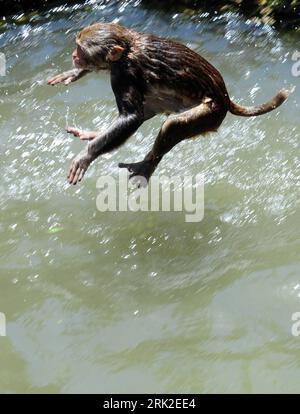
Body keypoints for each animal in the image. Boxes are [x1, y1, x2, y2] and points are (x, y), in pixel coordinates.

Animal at [47, 22, 290, 184]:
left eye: (80, 49)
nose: (74, 56)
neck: (127, 48)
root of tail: (225, 96)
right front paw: (75, 73)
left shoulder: (125, 73)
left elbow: (131, 116)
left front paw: (86, 156)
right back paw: (97, 134)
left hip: (213, 112)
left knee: (173, 125)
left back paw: (146, 166)